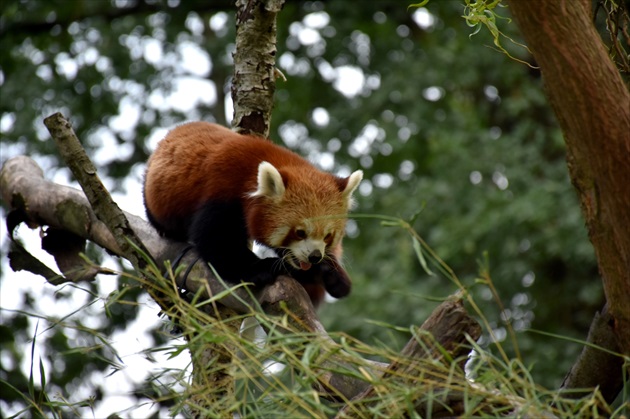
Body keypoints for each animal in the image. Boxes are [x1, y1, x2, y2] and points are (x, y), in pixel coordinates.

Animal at [142, 122, 360, 308]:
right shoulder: (222, 193)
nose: (315, 257)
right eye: (300, 232)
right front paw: (260, 269)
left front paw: (330, 273)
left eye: (328, 236)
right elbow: (217, 241)